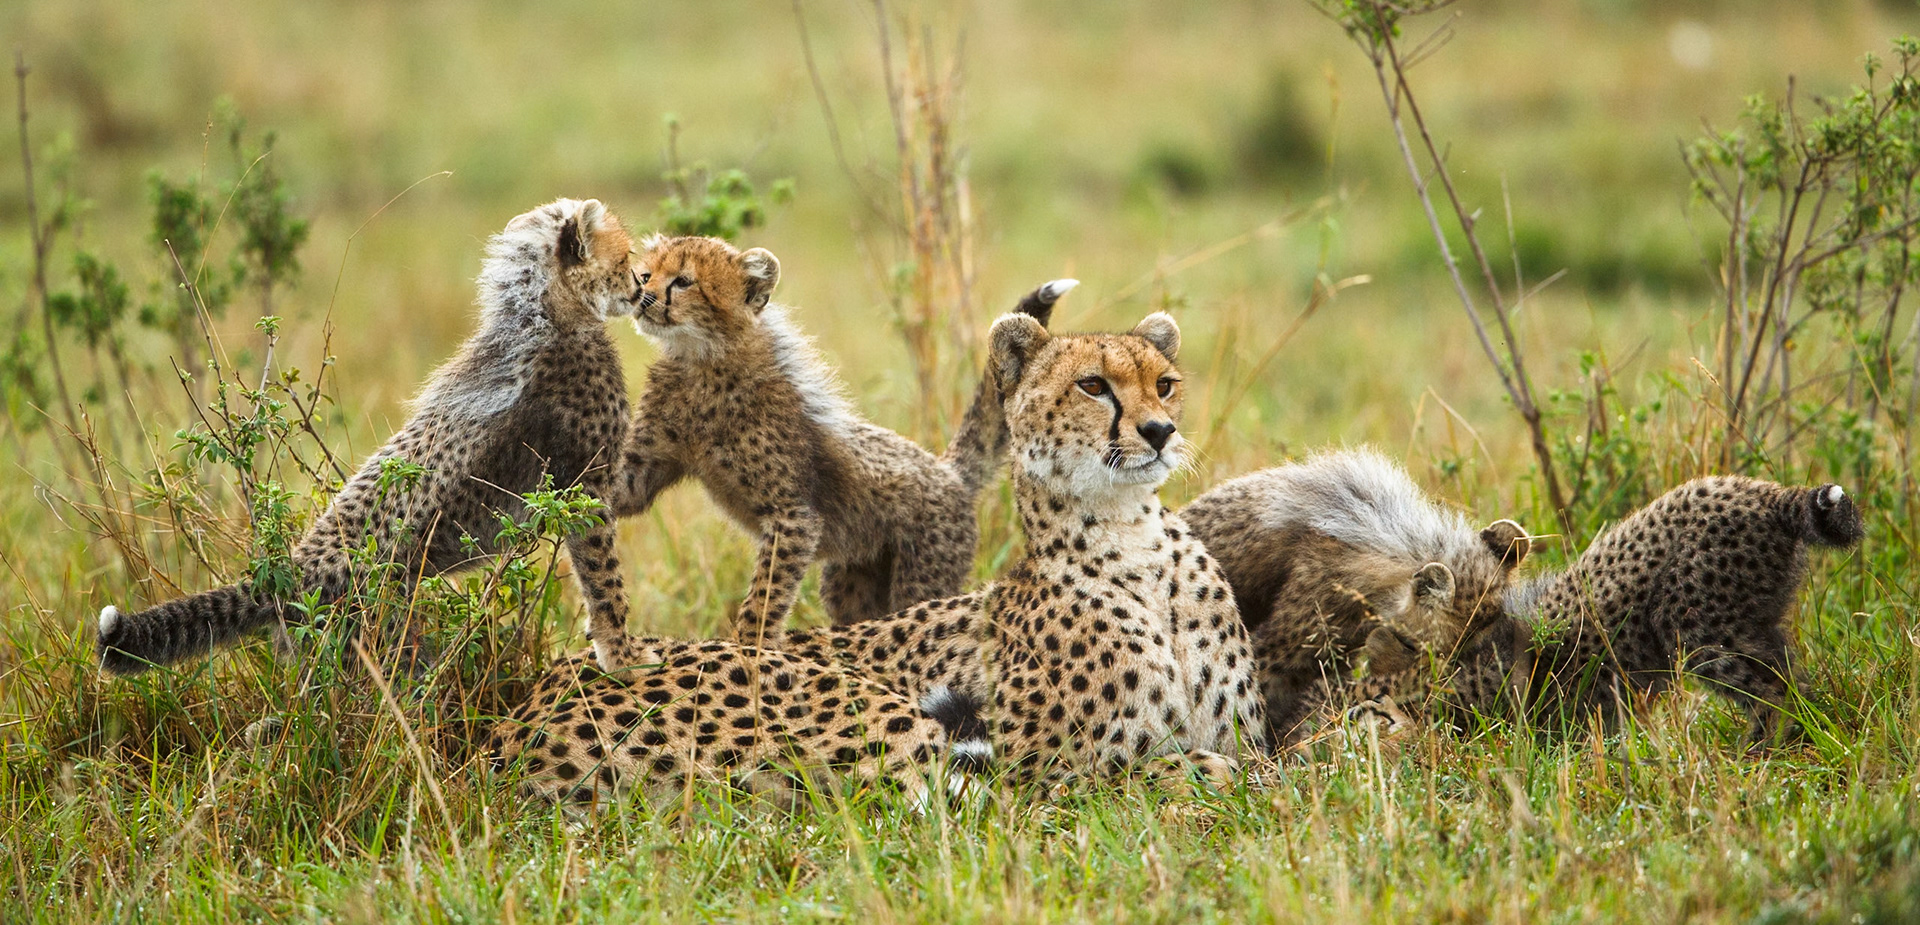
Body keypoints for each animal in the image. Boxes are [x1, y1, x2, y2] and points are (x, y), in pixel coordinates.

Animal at [97, 198, 649, 675]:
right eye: (624, 259)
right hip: (379, 646)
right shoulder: (586, 487)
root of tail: (287, 573)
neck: (545, 312)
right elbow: (604, 578)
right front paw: (623, 656)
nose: (642, 287)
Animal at [608, 231, 1075, 649]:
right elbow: (613, 490)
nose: (643, 295)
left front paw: (750, 652)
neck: (702, 360)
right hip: (849, 579)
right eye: (646, 273)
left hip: (921, 576)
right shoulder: (643, 470)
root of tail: (947, 471)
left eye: (683, 281)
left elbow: (765, 596)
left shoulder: (794, 516)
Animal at [1345, 476, 1866, 749]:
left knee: (1774, 690)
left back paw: (1756, 753)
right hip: (1754, 622)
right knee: (1793, 679)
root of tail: (1766, 492)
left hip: (1698, 628)